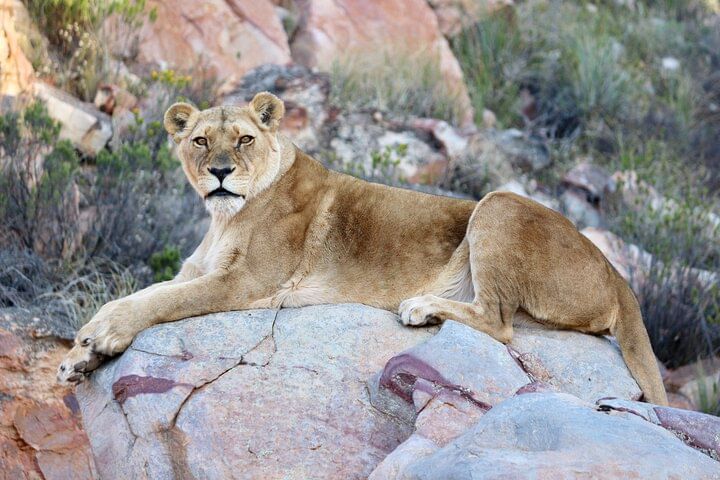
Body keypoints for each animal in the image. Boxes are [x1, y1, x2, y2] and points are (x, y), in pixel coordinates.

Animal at [57, 92, 668, 406]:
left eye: (246, 139)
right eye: (201, 140)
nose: (222, 173)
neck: (225, 218)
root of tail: (618, 274)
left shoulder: (248, 283)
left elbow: (157, 301)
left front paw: (101, 336)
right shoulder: (196, 269)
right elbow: (145, 291)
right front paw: (77, 358)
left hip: (498, 203)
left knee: (499, 322)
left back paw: (420, 307)